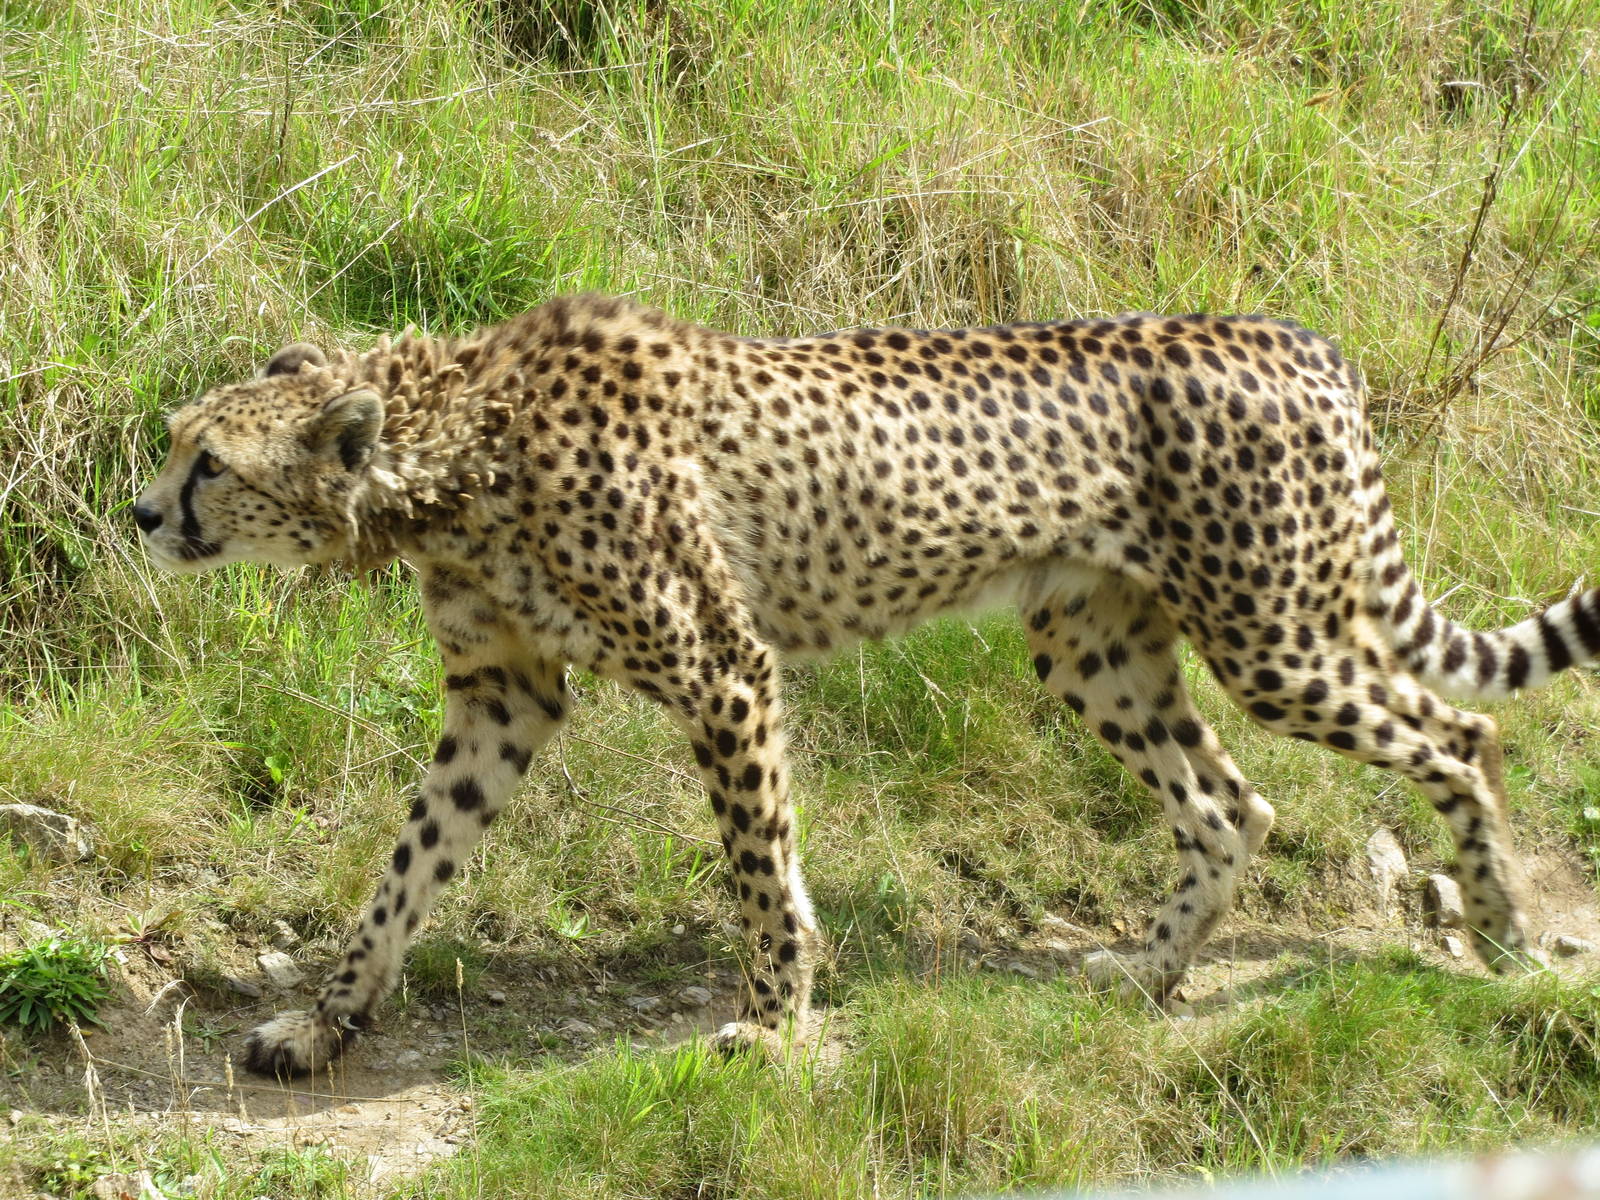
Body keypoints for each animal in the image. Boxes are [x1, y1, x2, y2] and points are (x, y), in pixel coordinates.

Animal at [132, 294, 1600, 1077]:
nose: (144, 514)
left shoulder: (723, 670)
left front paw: (775, 1021)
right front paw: (324, 1019)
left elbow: (758, 867)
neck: (456, 443)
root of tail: (1289, 333)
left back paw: (1504, 933)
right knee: (1234, 805)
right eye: (174, 444)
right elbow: (407, 866)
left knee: (1461, 731)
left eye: (210, 464)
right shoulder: (504, 696)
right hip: (1095, 644)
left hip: (1272, 635)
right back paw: (1145, 972)